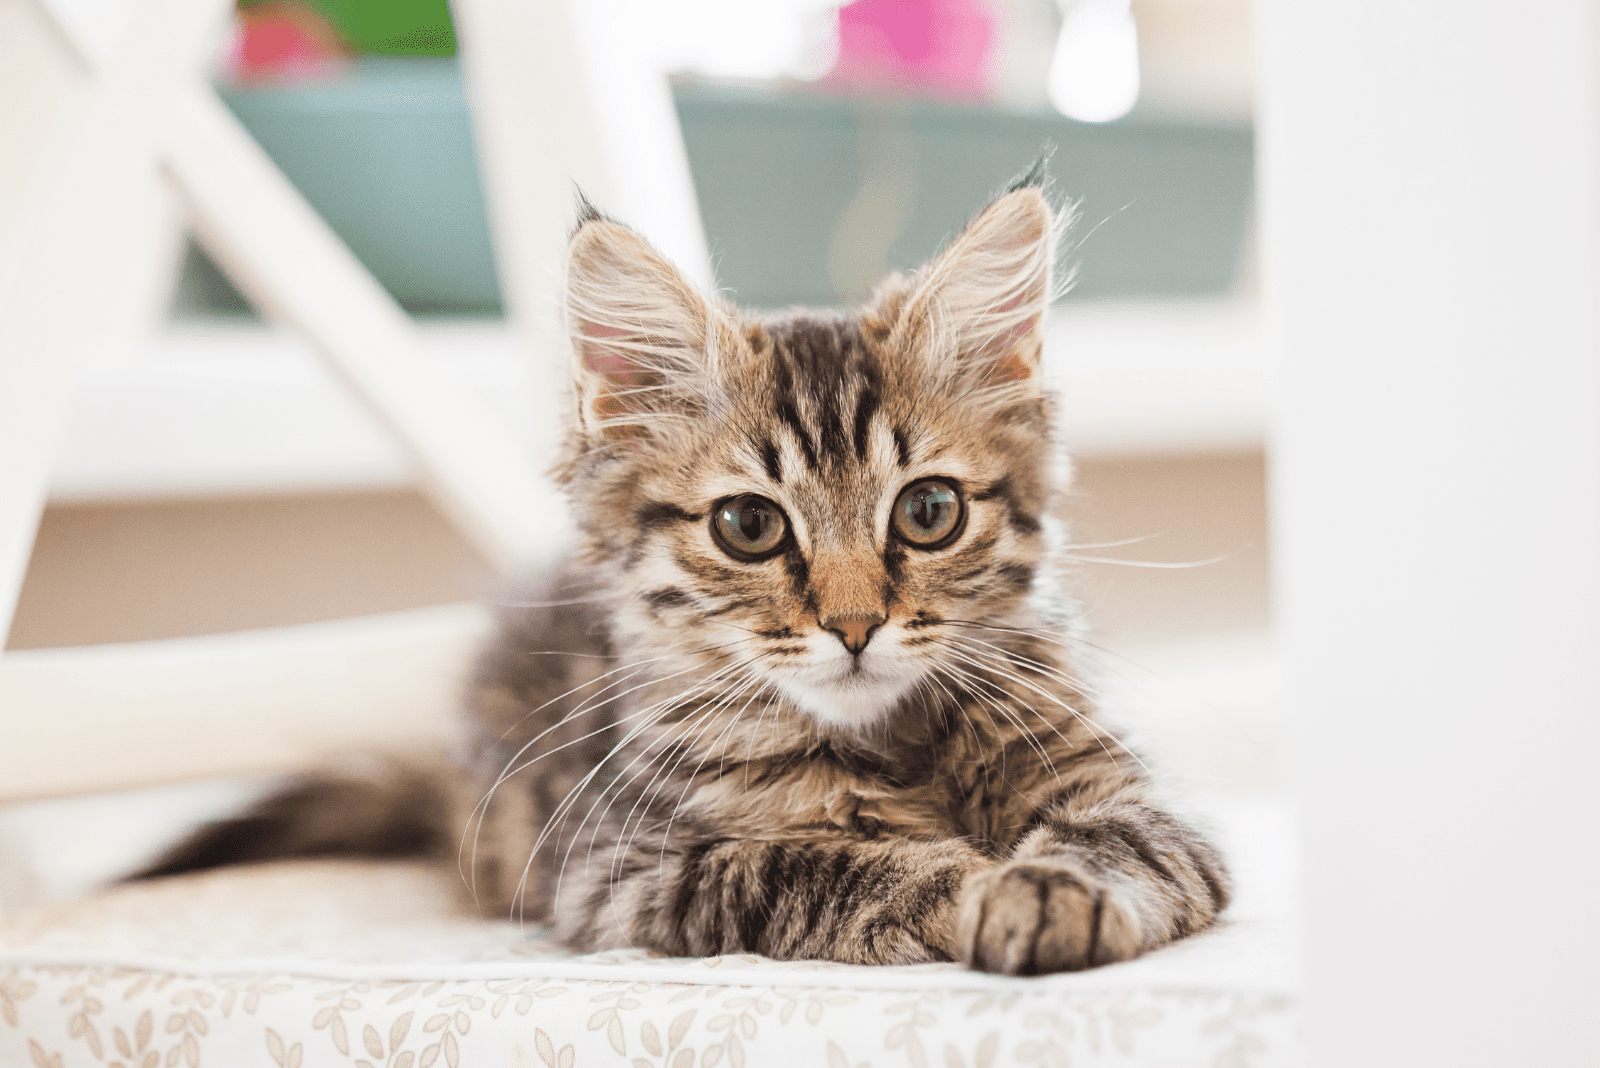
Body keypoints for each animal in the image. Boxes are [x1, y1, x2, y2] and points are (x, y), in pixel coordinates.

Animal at [140, 167, 1235, 978]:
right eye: (750, 526)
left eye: (929, 513)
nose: (854, 627)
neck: (888, 744)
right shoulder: (622, 874)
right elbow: (811, 865)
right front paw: (961, 881)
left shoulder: (1133, 796)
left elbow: (1113, 840)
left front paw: (1049, 889)